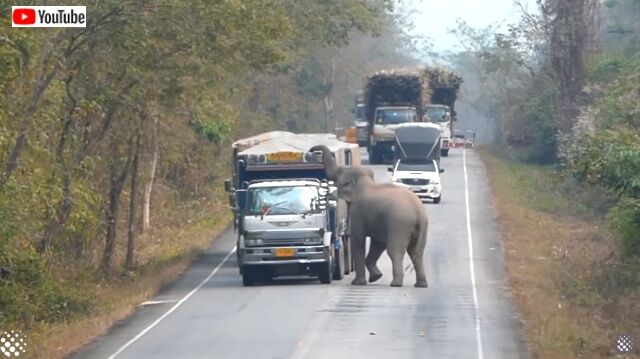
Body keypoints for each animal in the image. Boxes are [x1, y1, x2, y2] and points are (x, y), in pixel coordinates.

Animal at [308, 145, 428, 288]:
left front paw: (357, 283)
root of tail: (419, 211)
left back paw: (396, 284)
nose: (311, 151)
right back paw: (420, 285)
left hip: (400, 224)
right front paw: (376, 277)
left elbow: (358, 240)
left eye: (339, 173)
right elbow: (378, 244)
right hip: (418, 228)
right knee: (416, 252)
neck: (365, 181)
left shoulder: (357, 212)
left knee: (394, 250)